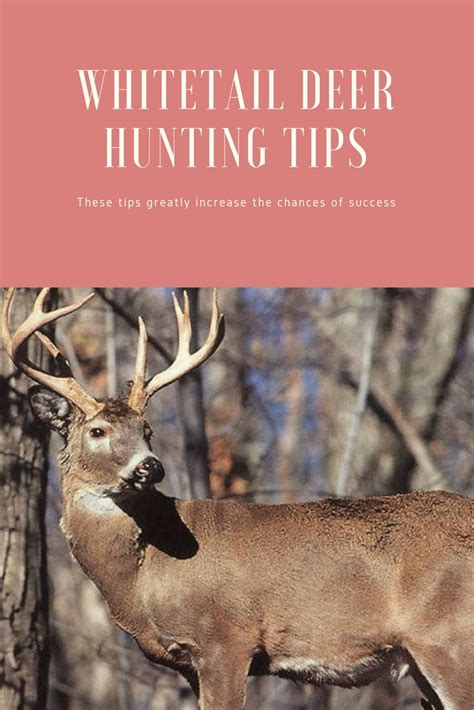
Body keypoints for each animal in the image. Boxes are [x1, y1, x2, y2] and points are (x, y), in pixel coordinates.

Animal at [2, 288, 473, 710]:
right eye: (98, 431)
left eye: (146, 430)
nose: (150, 466)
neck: (144, 577)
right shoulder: (191, 662)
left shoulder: (226, 639)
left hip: (447, 638)